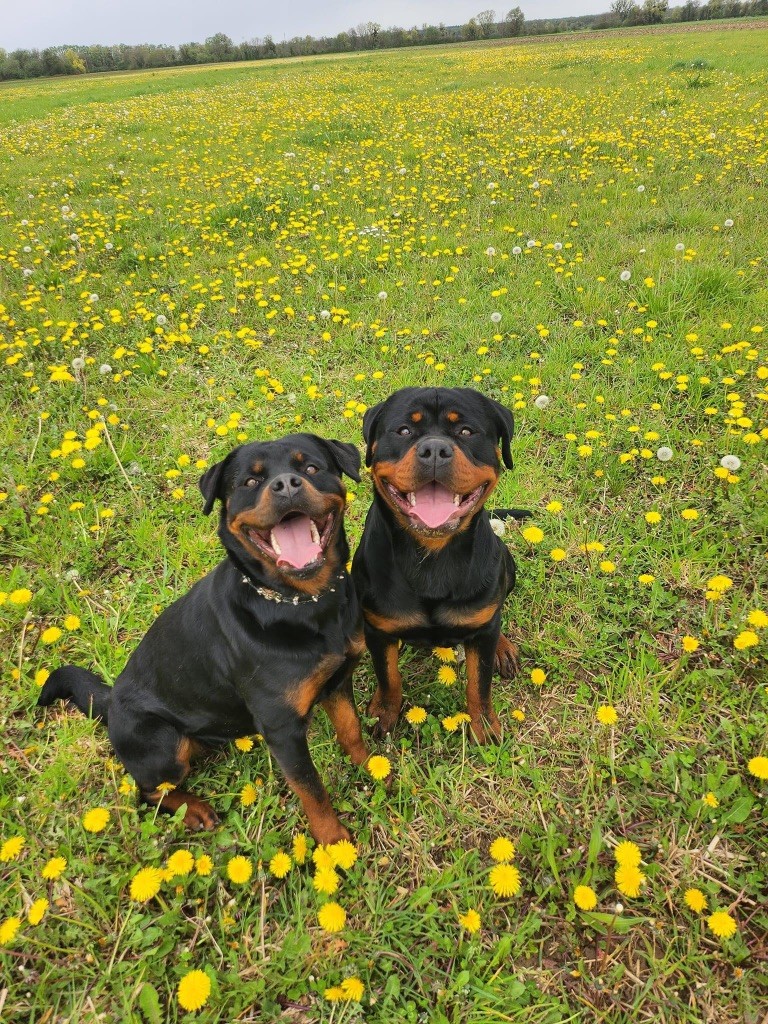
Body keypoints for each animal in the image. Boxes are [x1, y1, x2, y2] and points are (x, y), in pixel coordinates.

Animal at [37, 436, 368, 843]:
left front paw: (373, 766)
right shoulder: (282, 728)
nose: (286, 485)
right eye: (250, 482)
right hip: (163, 743)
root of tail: (110, 700)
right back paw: (194, 811)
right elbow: (311, 787)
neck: (303, 604)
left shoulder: (338, 680)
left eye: (311, 468)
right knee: (148, 791)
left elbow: (351, 730)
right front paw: (333, 841)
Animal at [352, 387, 528, 741]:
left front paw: (483, 725)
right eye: (404, 430)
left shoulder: (481, 630)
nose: (434, 449)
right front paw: (383, 713)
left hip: (507, 565)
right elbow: (388, 677)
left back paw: (502, 647)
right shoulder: (380, 630)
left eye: (466, 431)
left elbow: (479, 684)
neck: (432, 555)